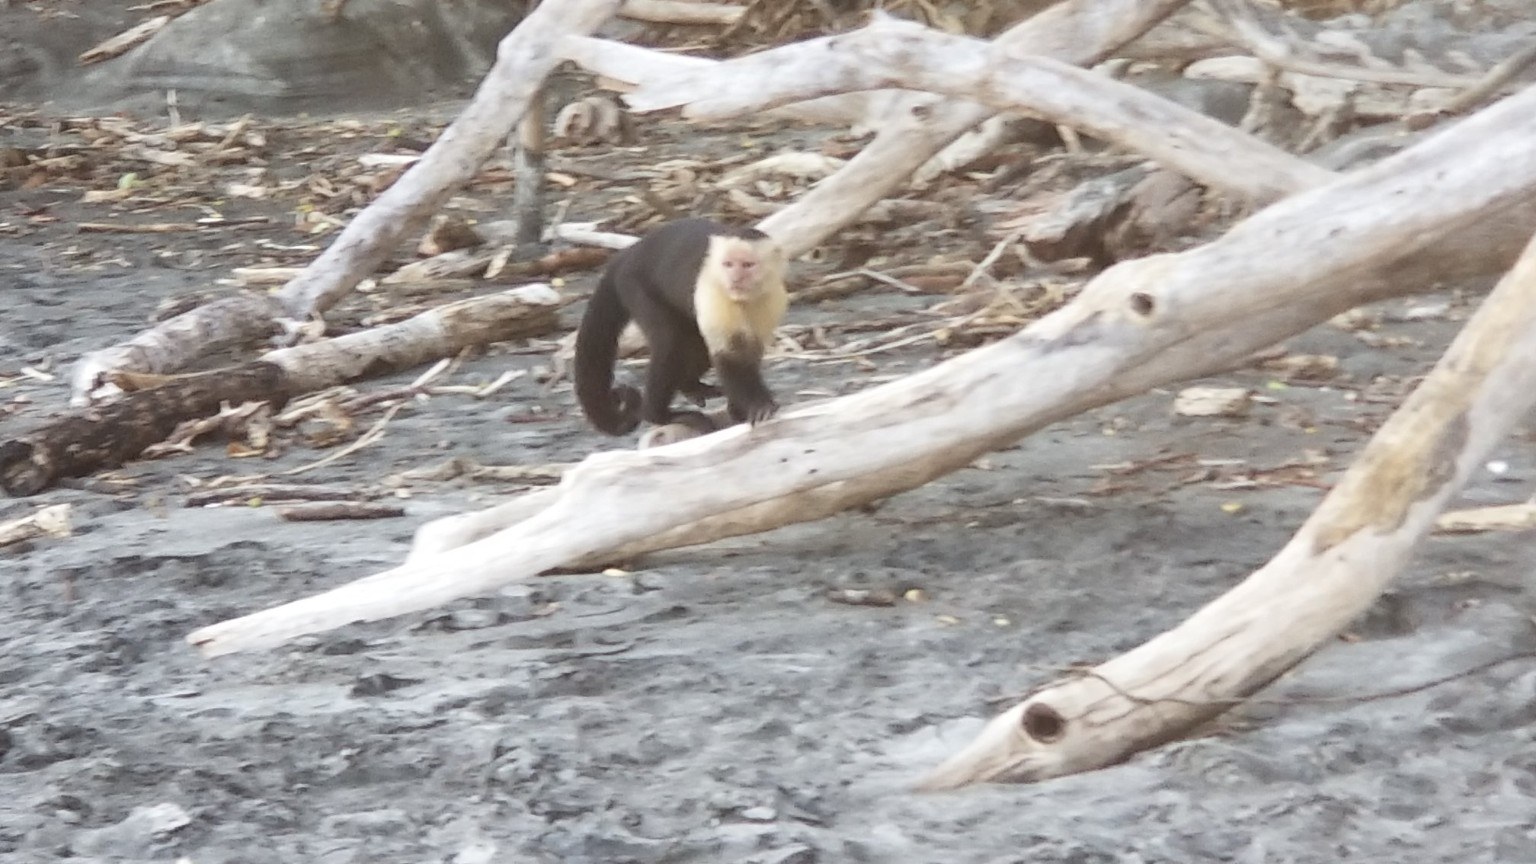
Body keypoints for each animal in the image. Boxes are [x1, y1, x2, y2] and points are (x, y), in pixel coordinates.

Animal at [574, 218, 788, 436]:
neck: (744, 300)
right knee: (671, 341)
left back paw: (691, 387)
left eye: (747, 265)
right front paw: (758, 406)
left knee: (696, 342)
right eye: (728, 264)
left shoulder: (772, 298)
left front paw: (738, 409)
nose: (734, 279)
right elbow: (730, 357)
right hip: (633, 283)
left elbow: (750, 352)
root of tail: (629, 252)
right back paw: (659, 415)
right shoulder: (714, 293)